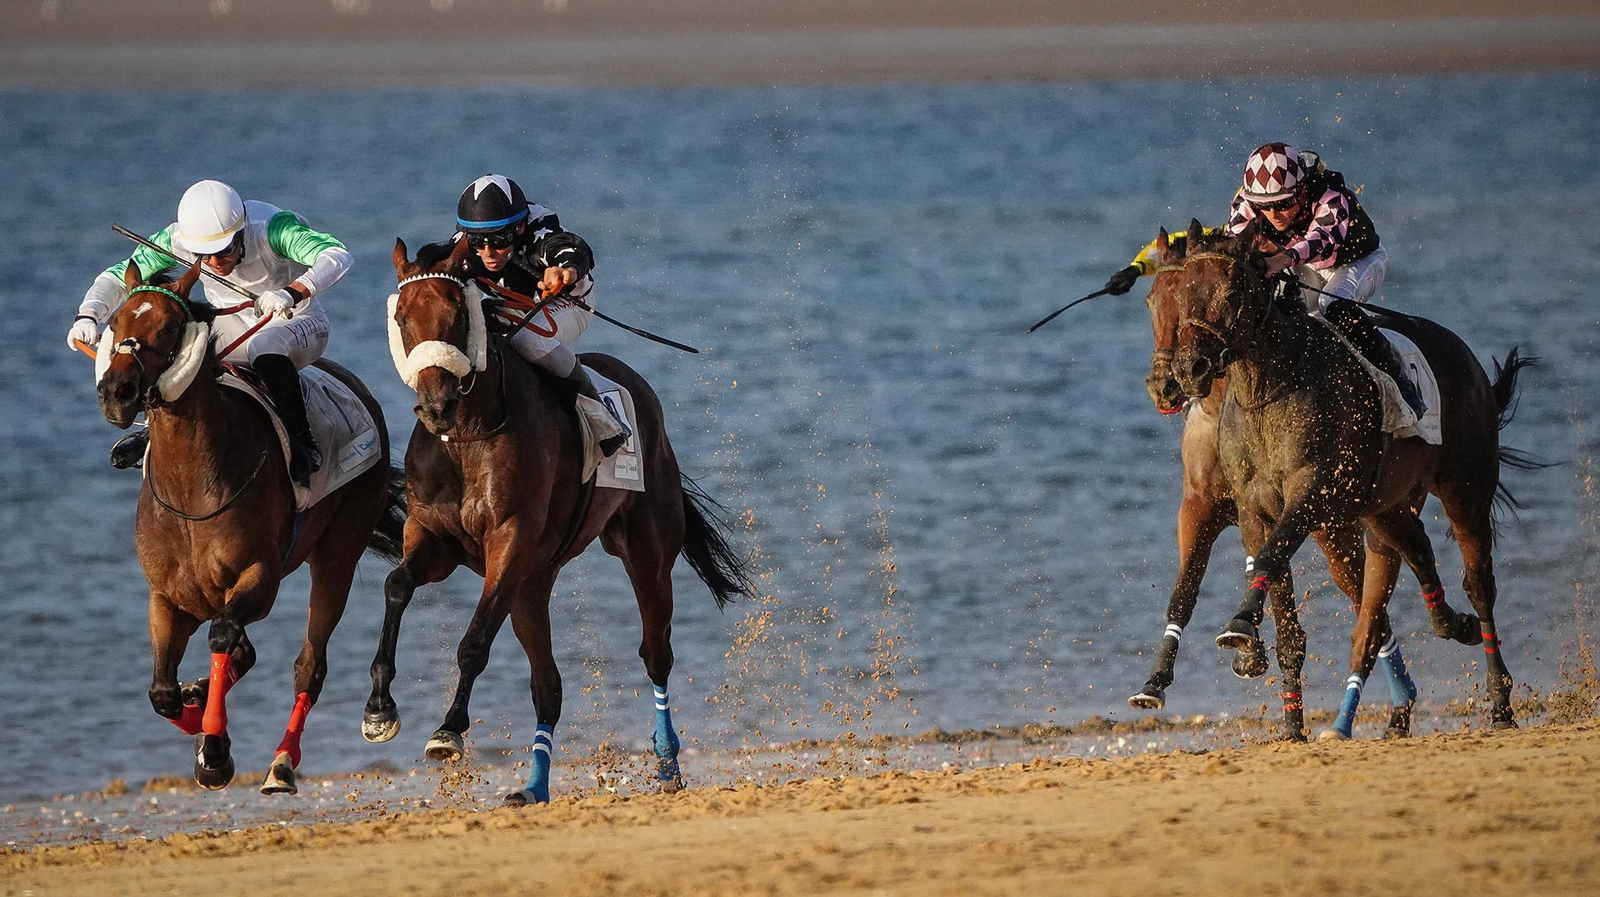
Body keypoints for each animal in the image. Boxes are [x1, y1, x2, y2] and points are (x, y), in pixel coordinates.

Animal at [95, 261, 406, 792]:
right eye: (116, 322)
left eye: (169, 327)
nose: (117, 392)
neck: (191, 492)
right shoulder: (169, 597)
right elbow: (163, 693)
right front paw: (200, 724)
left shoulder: (259, 580)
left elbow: (222, 638)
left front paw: (215, 749)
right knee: (246, 658)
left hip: (339, 551)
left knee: (310, 665)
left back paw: (282, 761)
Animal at [364, 238, 753, 805]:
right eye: (401, 316)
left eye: (457, 313)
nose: (436, 406)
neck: (469, 435)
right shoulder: (434, 540)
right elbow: (397, 585)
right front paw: (378, 708)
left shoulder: (509, 544)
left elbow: (474, 643)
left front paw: (448, 731)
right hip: (532, 586)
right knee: (548, 687)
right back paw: (533, 787)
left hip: (645, 555)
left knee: (655, 654)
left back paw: (666, 764)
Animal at [1129, 230, 1422, 740]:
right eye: (1153, 301)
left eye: (1225, 296)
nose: (1168, 382)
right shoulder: (1203, 506)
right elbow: (1185, 590)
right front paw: (1156, 680)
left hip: (1332, 530)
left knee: (1368, 603)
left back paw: (1400, 703)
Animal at [1167, 220, 1538, 736]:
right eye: (1180, 292)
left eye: (1233, 291)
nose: (1188, 368)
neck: (1271, 387)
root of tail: (1468, 359)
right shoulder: (1254, 510)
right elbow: (1282, 606)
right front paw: (1291, 725)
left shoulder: (1311, 494)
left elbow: (1270, 557)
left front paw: (1239, 626)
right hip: (1384, 505)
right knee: (1416, 549)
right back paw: (1450, 626)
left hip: (1465, 488)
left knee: (1479, 583)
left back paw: (1501, 702)